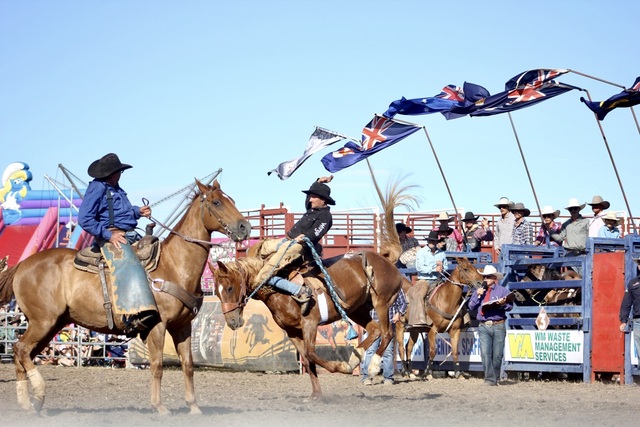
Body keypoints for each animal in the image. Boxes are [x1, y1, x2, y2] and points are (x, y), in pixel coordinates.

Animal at [0, 179, 250, 415]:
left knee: (22, 354)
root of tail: (22, 265)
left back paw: (30, 403)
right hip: (43, 321)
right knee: (21, 350)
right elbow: (157, 365)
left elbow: (188, 364)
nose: (245, 227)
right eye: (216, 202)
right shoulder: (157, 325)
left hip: (52, 324)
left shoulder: (182, 325)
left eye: (232, 200)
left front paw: (193, 407)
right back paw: (36, 395)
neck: (173, 265)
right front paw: (159, 406)